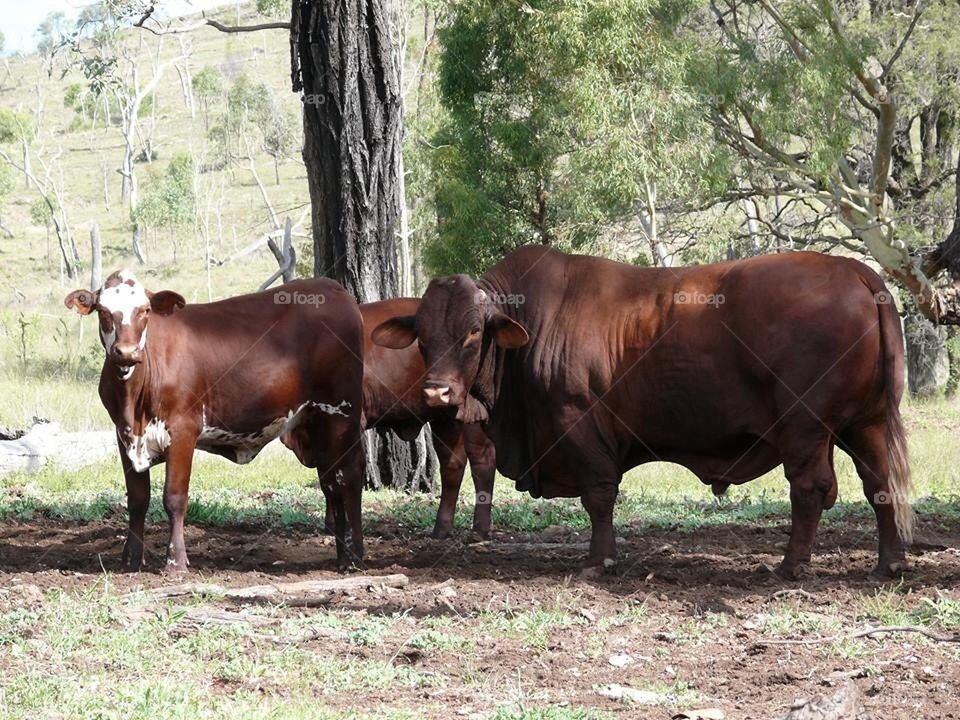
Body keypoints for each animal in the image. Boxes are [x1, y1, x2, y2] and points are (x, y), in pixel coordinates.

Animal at [65, 271, 366, 572]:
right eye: (103, 311)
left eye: (145, 310)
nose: (126, 352)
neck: (134, 402)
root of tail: (333, 288)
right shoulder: (123, 434)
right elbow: (138, 498)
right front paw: (130, 560)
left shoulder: (183, 430)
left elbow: (174, 497)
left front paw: (176, 562)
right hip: (317, 420)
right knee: (331, 482)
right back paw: (342, 556)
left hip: (342, 413)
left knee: (349, 477)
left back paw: (355, 557)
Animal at [359, 298, 496, 539]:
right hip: (445, 417)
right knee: (453, 464)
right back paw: (442, 528)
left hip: (474, 415)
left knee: (482, 461)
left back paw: (479, 530)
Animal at [373, 245, 914, 579]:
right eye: (423, 335)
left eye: (471, 332)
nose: (437, 393)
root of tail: (854, 270)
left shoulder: (578, 425)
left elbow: (598, 497)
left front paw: (600, 560)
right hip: (865, 423)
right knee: (879, 484)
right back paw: (889, 562)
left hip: (805, 427)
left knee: (810, 488)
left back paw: (791, 564)